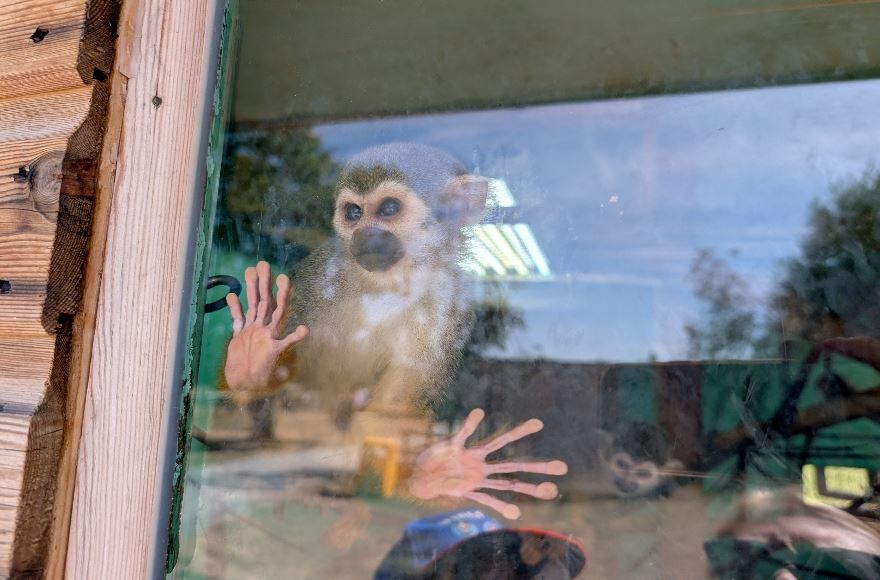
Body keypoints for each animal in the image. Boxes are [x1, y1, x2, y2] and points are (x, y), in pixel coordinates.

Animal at [222, 143, 567, 519]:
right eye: (354, 212)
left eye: (389, 209)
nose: (364, 233)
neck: (388, 284)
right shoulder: (317, 278)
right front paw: (254, 363)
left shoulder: (449, 302)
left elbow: (390, 408)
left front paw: (439, 474)